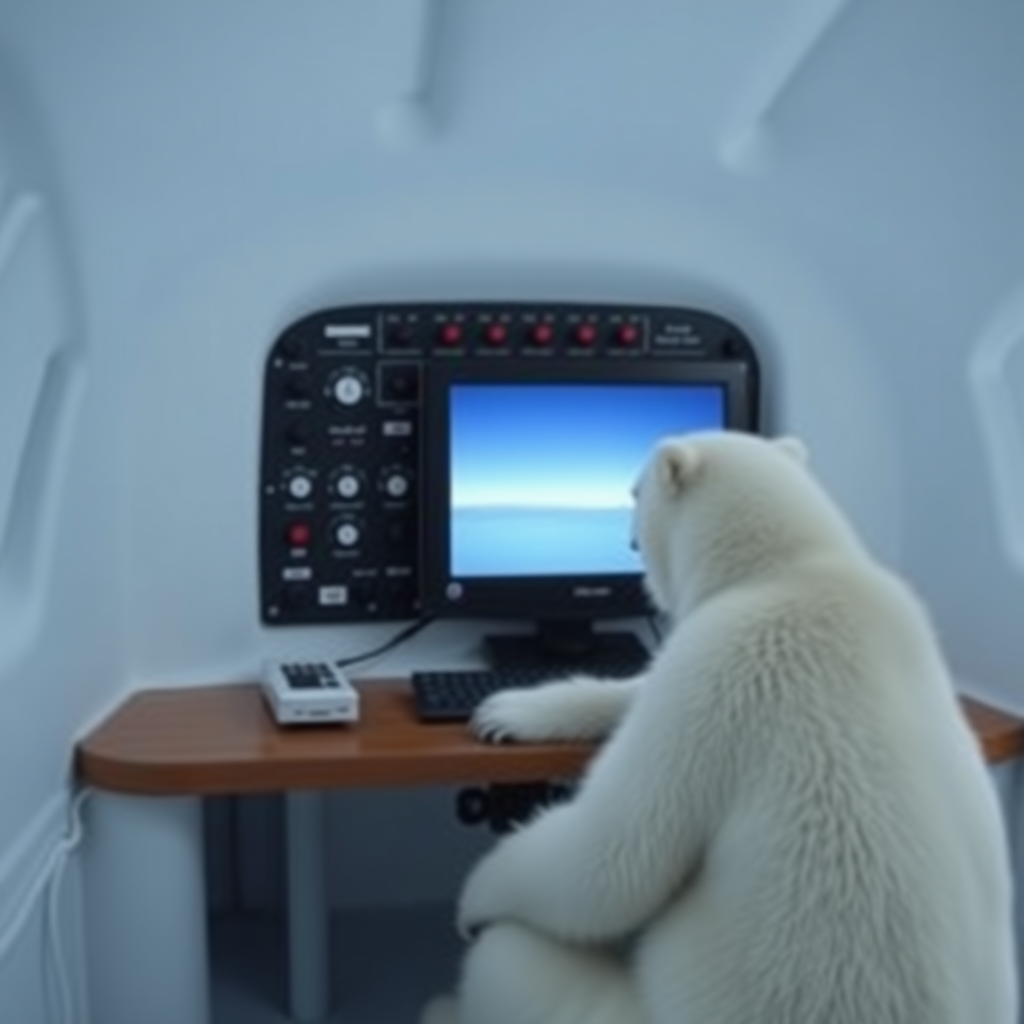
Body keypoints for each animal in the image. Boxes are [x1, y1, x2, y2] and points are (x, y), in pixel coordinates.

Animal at [421, 430, 1015, 1024]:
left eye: (634, 491)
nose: (627, 536)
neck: (792, 566)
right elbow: (636, 693)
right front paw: (507, 711)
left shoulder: (731, 662)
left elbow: (613, 854)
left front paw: (475, 897)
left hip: (648, 1004)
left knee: (509, 959)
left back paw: (446, 1003)